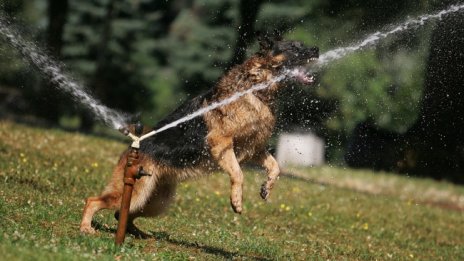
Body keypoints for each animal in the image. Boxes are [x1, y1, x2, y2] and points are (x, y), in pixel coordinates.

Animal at [80, 33, 320, 235]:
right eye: (293, 48)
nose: (317, 49)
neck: (255, 88)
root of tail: (135, 145)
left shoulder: (253, 148)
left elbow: (275, 166)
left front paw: (266, 188)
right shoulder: (222, 143)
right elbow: (238, 174)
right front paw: (236, 200)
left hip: (156, 202)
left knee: (121, 212)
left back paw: (137, 233)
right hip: (137, 191)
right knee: (94, 201)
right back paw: (86, 228)